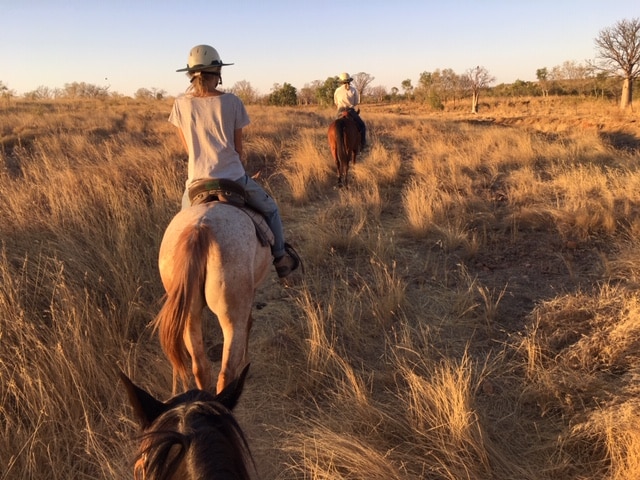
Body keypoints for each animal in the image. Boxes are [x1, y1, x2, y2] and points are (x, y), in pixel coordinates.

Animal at [156, 201, 274, 396]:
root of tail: (199, 230)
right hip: (231, 318)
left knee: (200, 368)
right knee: (226, 372)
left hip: (190, 317)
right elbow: (249, 323)